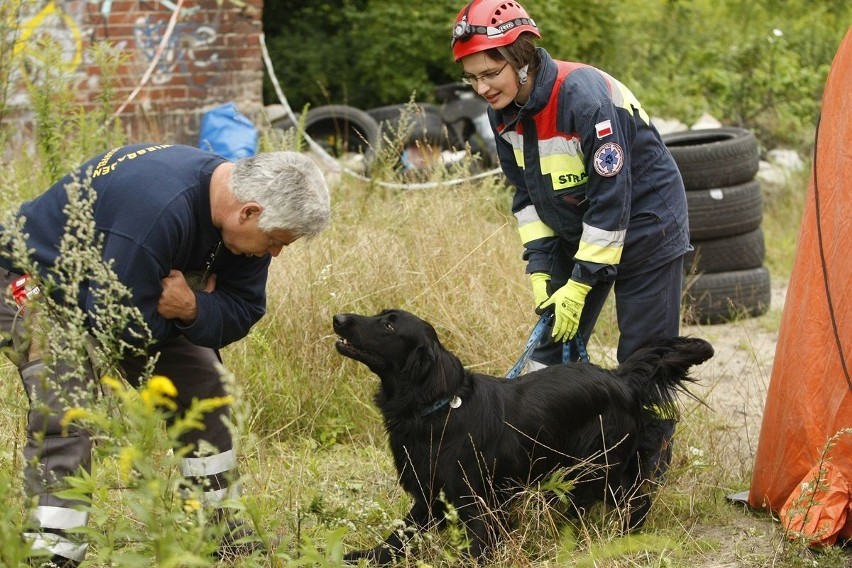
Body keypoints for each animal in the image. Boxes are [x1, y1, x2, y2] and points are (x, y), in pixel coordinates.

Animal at [332, 310, 712, 564]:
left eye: (389, 325)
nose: (339, 317)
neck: (440, 406)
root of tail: (621, 378)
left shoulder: (475, 501)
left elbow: (476, 546)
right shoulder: (430, 494)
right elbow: (398, 535)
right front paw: (365, 555)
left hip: (602, 467)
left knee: (637, 501)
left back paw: (628, 538)